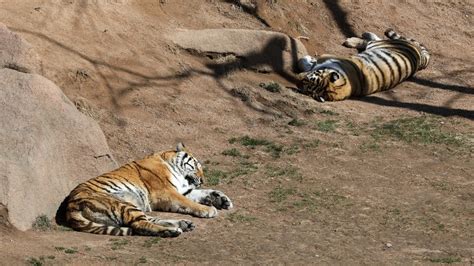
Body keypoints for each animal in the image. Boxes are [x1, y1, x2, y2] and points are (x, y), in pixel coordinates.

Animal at [63, 143, 233, 237]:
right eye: (196, 166)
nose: (203, 180)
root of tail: (70, 206)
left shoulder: (183, 190)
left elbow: (202, 193)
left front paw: (222, 199)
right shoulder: (166, 192)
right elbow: (187, 202)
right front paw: (208, 210)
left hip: (131, 205)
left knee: (147, 220)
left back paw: (183, 224)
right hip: (121, 203)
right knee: (140, 225)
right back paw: (171, 231)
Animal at [298, 27, 432, 101]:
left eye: (310, 80)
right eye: (307, 87)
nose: (298, 81)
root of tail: (420, 57)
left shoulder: (329, 57)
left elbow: (309, 62)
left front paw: (306, 60)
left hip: (380, 44)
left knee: (373, 39)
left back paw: (357, 38)